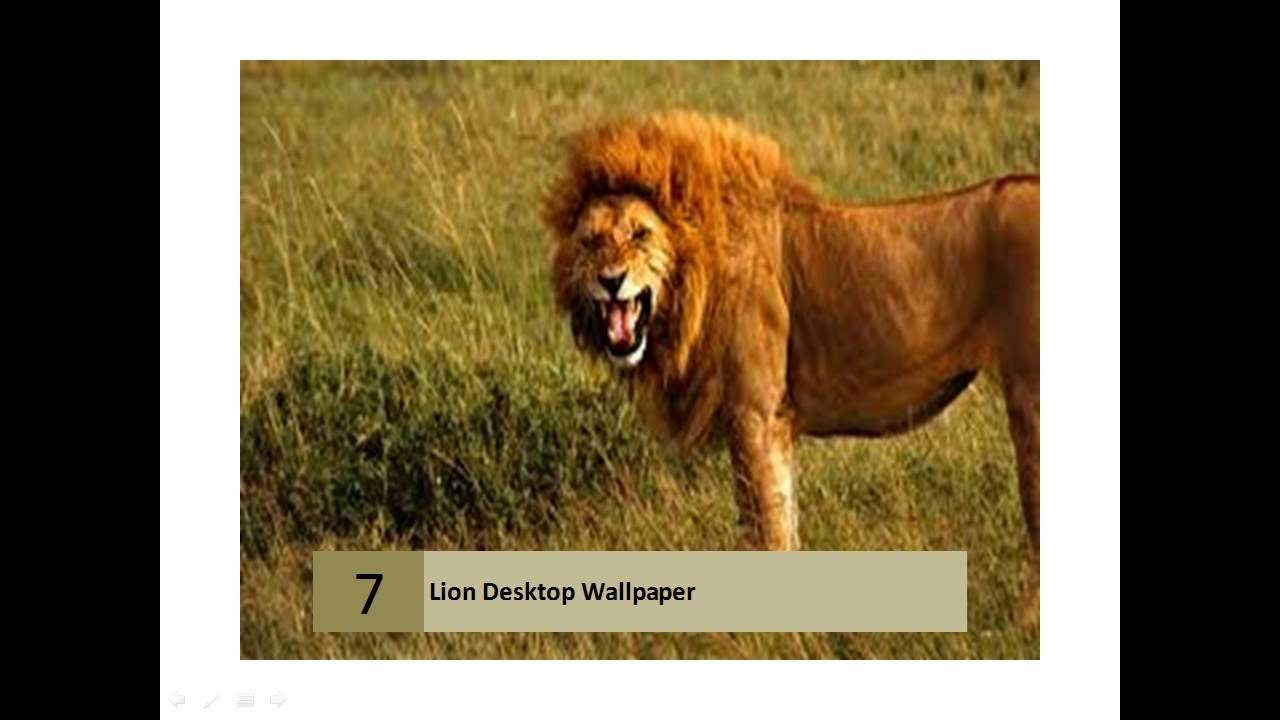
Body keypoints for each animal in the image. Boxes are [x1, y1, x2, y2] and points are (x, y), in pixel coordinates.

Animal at [541, 112, 1039, 624]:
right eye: (591, 241)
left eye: (640, 234)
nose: (611, 280)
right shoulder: (772, 422)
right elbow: (780, 519)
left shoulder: (755, 413)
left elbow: (766, 527)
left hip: (1031, 400)